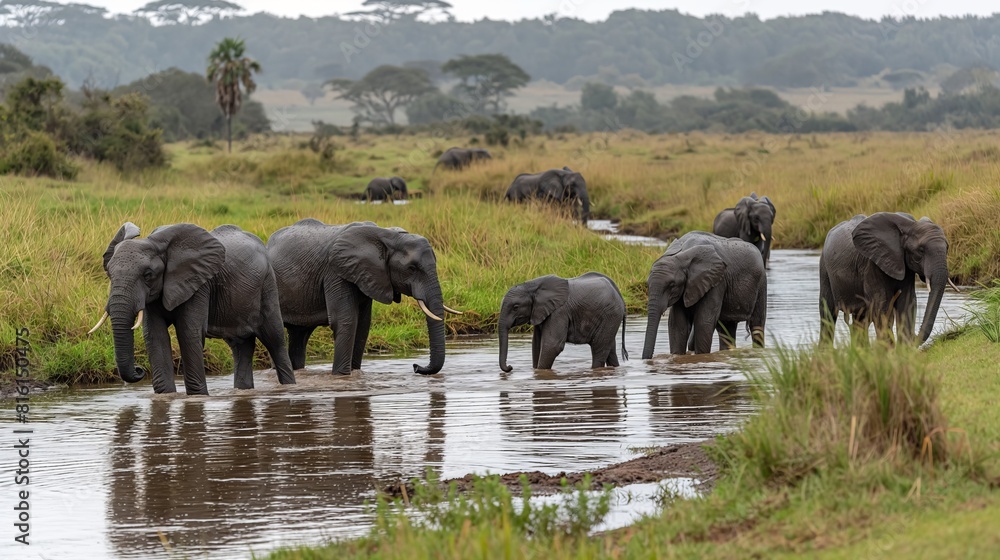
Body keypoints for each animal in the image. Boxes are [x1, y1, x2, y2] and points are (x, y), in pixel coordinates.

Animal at [92, 222, 296, 395]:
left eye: (148, 275)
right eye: (109, 273)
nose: (139, 370)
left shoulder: (199, 284)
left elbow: (188, 333)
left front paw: (197, 397)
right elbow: (155, 335)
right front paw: (166, 396)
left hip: (268, 285)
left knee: (274, 339)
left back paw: (289, 387)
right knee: (240, 345)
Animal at [267, 219, 460, 375]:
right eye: (412, 268)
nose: (415, 366)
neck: (389, 236)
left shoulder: (367, 276)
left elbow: (363, 325)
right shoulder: (336, 272)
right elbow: (346, 321)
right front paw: (341, 377)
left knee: (299, 335)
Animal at [498, 272, 627, 372]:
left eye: (515, 307)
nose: (510, 367)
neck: (532, 286)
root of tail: (619, 295)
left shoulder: (559, 312)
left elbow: (552, 345)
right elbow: (536, 344)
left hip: (611, 314)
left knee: (598, 346)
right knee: (610, 348)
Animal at [819, 212, 950, 346]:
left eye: (947, 248)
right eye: (921, 250)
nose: (914, 337)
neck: (909, 225)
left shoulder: (906, 268)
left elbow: (907, 302)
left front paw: (904, 348)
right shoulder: (872, 266)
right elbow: (882, 306)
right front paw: (890, 350)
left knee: (860, 319)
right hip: (824, 268)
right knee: (828, 313)